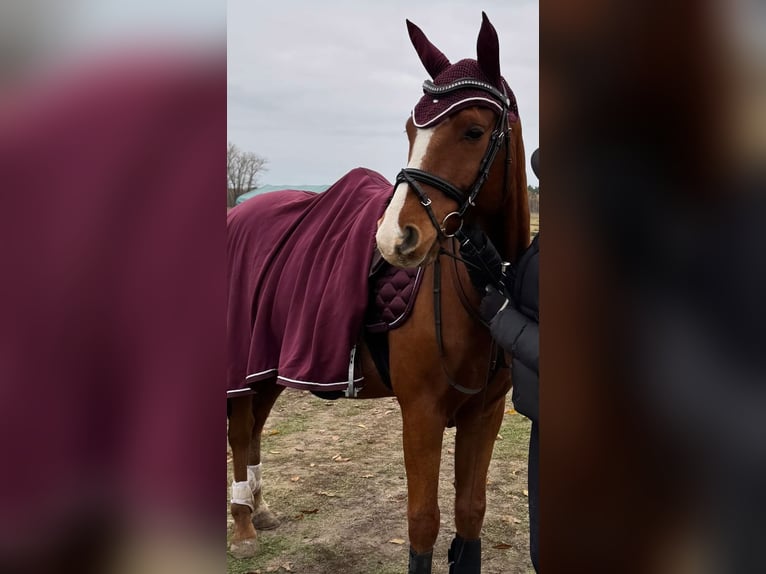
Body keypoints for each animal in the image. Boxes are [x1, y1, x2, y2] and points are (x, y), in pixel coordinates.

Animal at [225, 13, 532, 574]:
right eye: (412, 130)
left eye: (474, 131)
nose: (395, 239)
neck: (478, 287)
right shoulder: (421, 413)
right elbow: (423, 522)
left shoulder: (486, 415)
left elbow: (470, 513)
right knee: (240, 429)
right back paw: (242, 526)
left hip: (268, 364)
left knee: (255, 425)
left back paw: (259, 508)